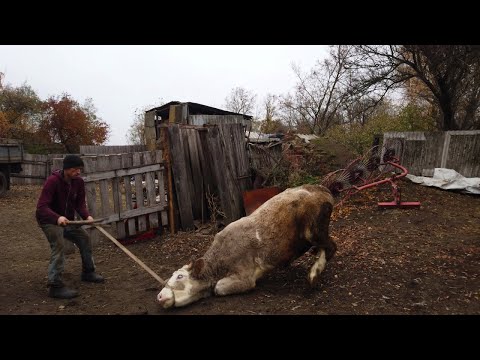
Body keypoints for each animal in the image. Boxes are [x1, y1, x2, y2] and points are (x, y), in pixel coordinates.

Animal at [156, 184, 336, 308]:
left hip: (314, 230)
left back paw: (313, 275)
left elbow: (219, 287)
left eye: (180, 276)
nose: (159, 296)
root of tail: (321, 188)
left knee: (331, 247)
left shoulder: (245, 276)